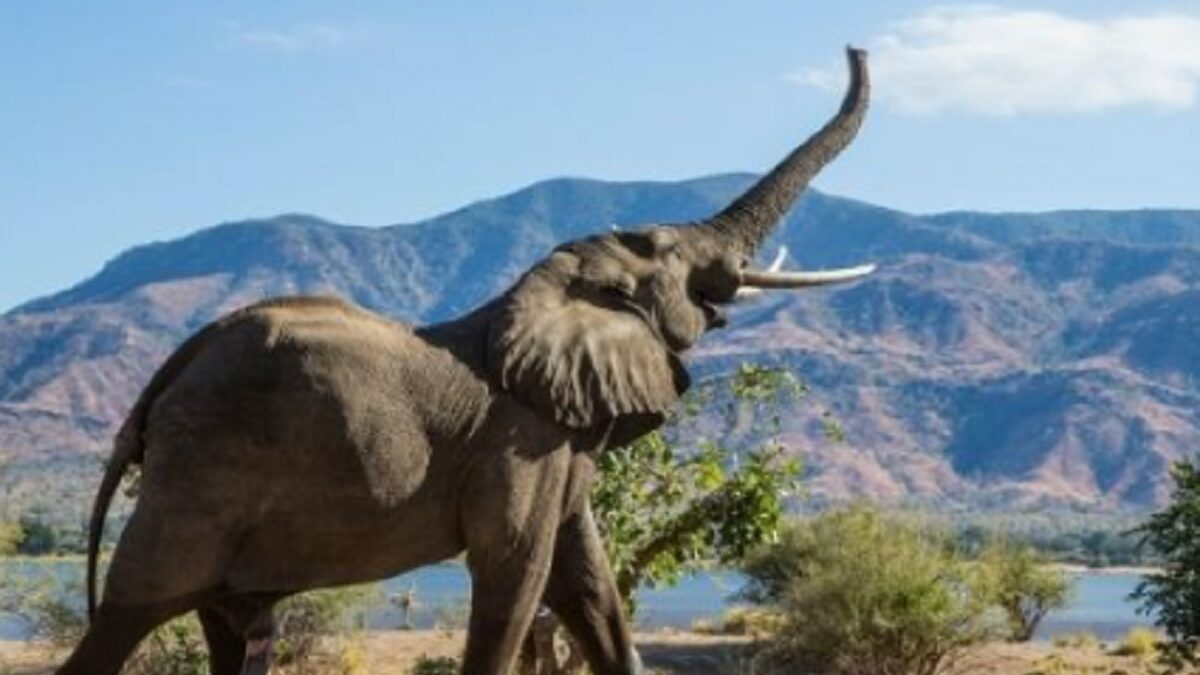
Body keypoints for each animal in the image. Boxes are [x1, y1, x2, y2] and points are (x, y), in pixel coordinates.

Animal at [58, 48, 873, 672]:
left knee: (227, 626)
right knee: (133, 612)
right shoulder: (519, 443)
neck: (541, 292)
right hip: (199, 479)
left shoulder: (559, 442)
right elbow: (516, 571)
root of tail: (161, 384)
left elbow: (590, 585)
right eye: (671, 252)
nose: (856, 46)